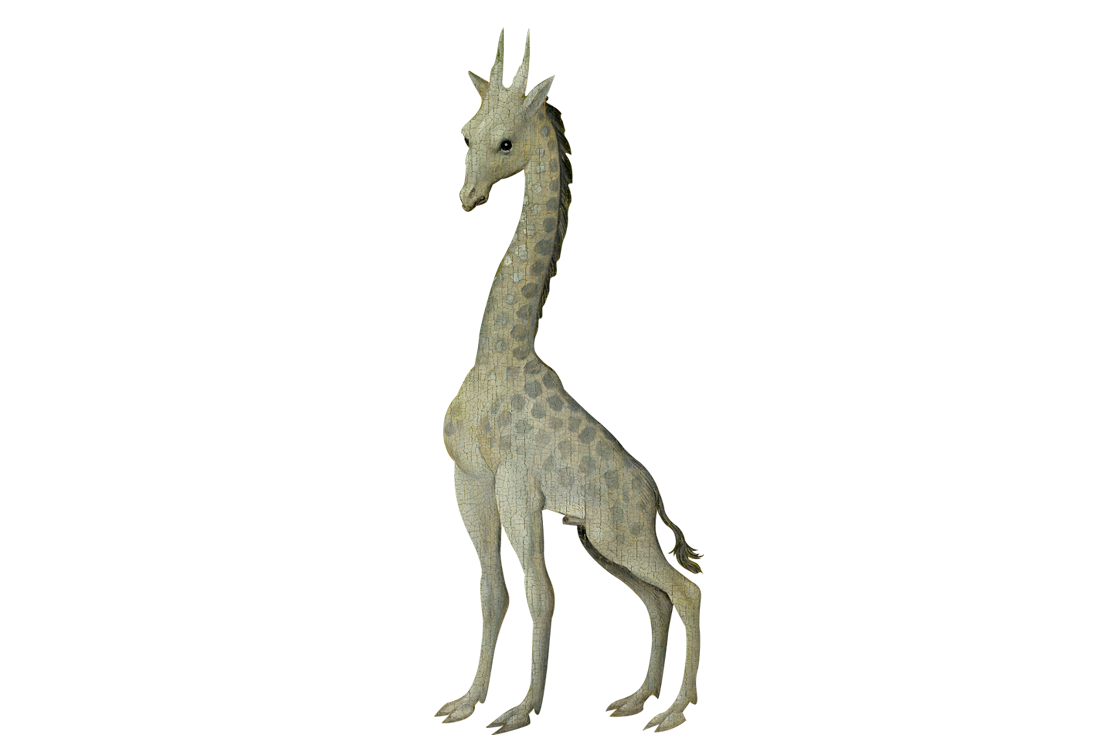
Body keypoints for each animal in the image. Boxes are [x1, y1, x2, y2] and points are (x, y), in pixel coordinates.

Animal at [436, 36, 701, 735]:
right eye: (466, 132)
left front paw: (520, 711)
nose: (467, 194)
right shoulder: (471, 478)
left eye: (507, 142)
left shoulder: (515, 484)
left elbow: (543, 593)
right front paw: (469, 703)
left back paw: (668, 714)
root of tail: (653, 497)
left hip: (618, 535)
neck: (499, 354)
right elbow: (492, 590)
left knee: (686, 592)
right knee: (659, 600)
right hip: (602, 542)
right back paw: (637, 701)